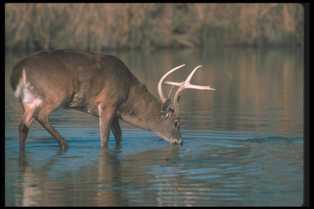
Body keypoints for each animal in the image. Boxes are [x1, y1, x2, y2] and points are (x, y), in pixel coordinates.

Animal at [10, 49, 216, 151]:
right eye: (176, 122)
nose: (180, 142)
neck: (129, 95)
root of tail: (19, 68)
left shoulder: (116, 111)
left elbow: (119, 136)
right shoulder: (109, 103)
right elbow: (104, 139)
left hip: (27, 100)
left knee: (23, 126)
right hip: (55, 94)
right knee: (41, 116)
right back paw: (64, 144)